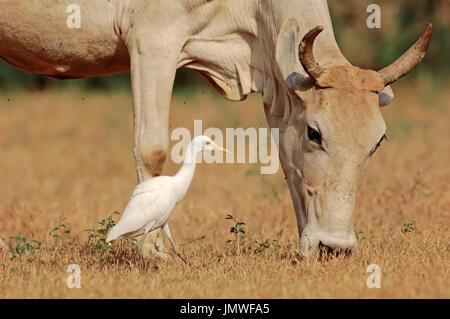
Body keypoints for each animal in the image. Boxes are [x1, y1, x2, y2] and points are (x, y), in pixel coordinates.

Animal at [0, 0, 432, 258]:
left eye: (377, 142)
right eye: (315, 133)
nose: (335, 247)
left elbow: (289, 169)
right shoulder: (152, 41)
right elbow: (152, 149)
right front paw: (154, 252)